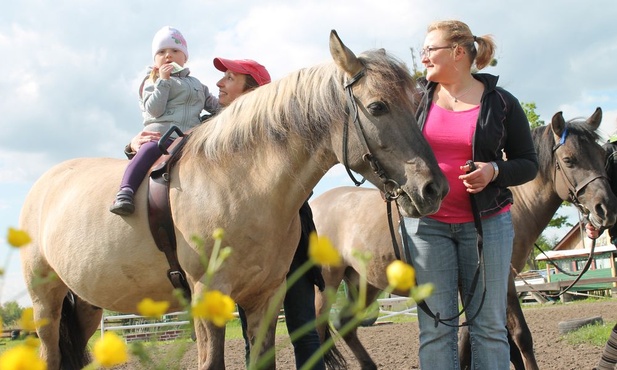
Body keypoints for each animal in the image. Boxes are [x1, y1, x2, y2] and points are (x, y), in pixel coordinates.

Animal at [18, 31, 448, 370]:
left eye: (417, 104)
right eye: (377, 107)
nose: (434, 189)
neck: (238, 183)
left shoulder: (265, 299)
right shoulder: (207, 298)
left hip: (87, 304)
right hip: (45, 301)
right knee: (49, 355)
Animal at [312, 107, 616, 370]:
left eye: (603, 156)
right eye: (569, 160)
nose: (606, 209)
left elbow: (483, 338)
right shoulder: (500, 280)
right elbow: (519, 336)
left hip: (364, 283)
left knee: (346, 325)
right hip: (327, 284)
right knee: (318, 329)